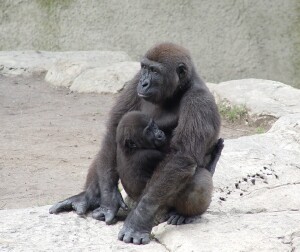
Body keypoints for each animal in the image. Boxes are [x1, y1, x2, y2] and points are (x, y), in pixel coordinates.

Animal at [49, 42, 223, 244]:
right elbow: (114, 129)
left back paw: (185, 215)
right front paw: (108, 199)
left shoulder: (199, 101)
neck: (179, 88)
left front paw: (138, 221)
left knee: (199, 179)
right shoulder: (134, 81)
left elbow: (181, 157)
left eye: (155, 71)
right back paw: (88, 196)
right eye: (145, 68)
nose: (144, 82)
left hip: (159, 210)